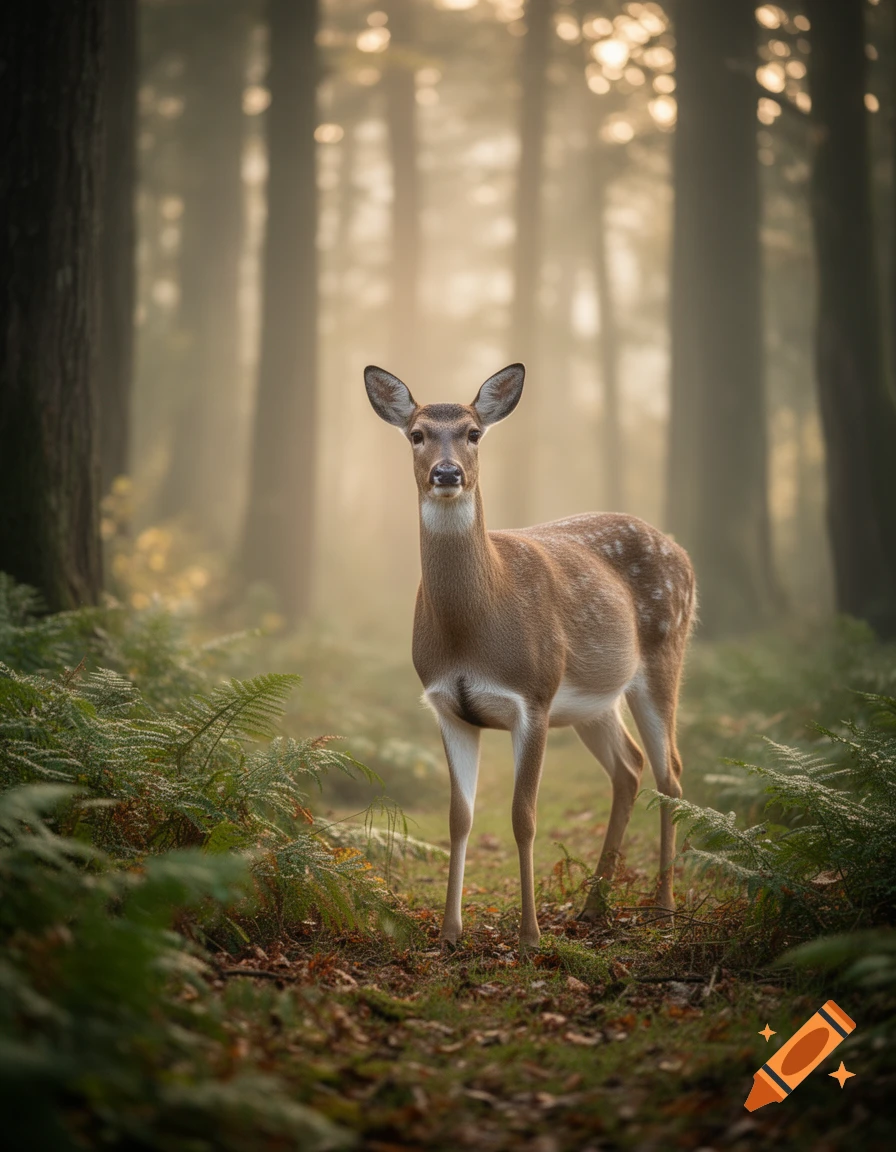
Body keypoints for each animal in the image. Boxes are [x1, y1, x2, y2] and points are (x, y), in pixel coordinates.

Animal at [364, 362, 696, 951]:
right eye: (417, 434)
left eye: (474, 433)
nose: (447, 473)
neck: (470, 632)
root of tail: (682, 552)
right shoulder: (446, 705)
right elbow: (459, 815)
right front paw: (449, 933)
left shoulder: (533, 695)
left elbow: (523, 816)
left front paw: (530, 935)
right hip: (593, 700)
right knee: (629, 767)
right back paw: (593, 908)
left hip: (663, 651)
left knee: (670, 772)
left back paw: (663, 906)